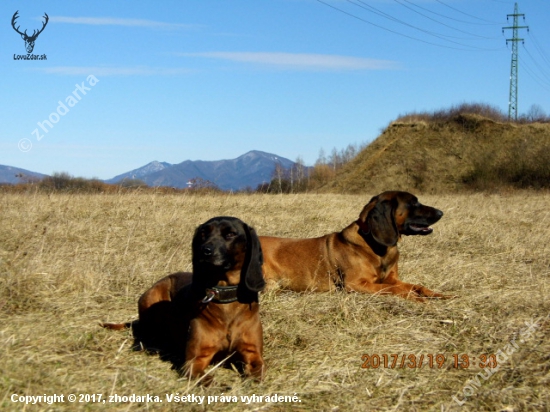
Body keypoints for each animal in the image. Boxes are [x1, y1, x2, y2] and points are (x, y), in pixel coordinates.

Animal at [105, 217, 268, 382]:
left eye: (230, 234)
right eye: (203, 233)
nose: (204, 251)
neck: (224, 296)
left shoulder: (253, 354)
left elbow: (258, 371)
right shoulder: (194, 360)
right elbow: (206, 379)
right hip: (151, 297)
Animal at [260, 192, 450, 300]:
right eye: (413, 203)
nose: (441, 212)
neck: (375, 246)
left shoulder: (392, 278)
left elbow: (416, 285)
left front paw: (437, 294)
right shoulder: (355, 284)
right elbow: (392, 288)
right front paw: (416, 298)